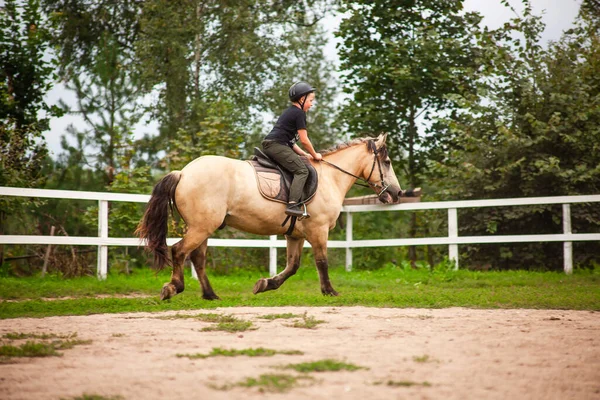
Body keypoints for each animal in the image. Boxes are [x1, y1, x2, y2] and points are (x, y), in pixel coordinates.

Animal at [137, 134, 404, 300]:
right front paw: (329, 291)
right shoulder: (318, 230)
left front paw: (265, 284)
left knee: (197, 258)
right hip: (201, 226)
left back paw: (210, 294)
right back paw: (174, 287)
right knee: (179, 251)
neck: (330, 177)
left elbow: (293, 266)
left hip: (203, 227)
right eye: (387, 162)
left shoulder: (295, 235)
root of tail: (183, 173)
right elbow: (322, 261)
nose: (396, 193)